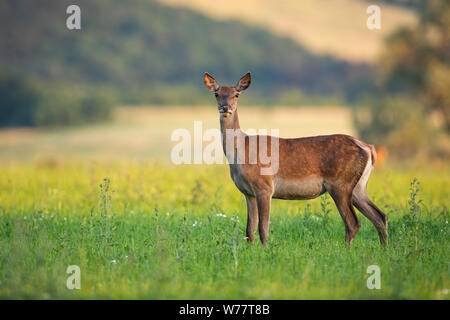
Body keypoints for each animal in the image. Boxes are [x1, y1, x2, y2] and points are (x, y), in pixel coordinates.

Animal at [202, 72, 388, 246]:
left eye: (236, 94)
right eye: (217, 94)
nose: (225, 107)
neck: (240, 153)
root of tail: (368, 148)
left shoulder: (265, 186)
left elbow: (263, 228)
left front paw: (266, 251)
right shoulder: (248, 193)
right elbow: (249, 230)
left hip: (340, 183)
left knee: (353, 222)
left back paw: (347, 250)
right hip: (358, 186)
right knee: (380, 216)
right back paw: (384, 248)